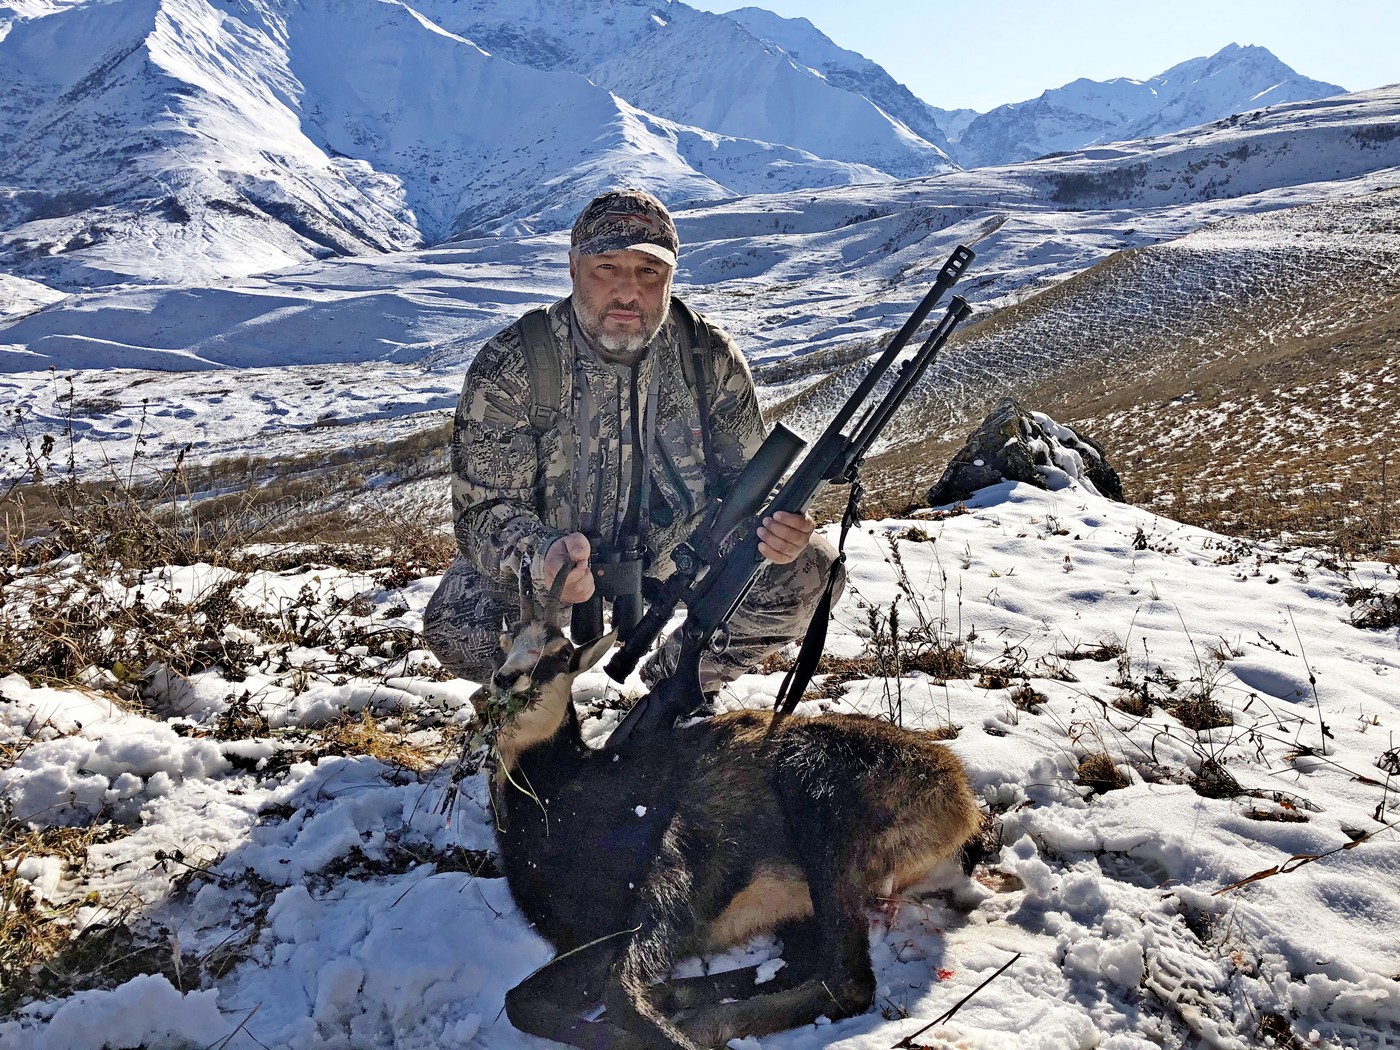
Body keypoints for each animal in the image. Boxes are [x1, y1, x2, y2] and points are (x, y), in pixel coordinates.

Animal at [484, 576, 985, 1050]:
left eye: (561, 654)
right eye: (505, 643)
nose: (506, 680)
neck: (556, 798)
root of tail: (960, 807)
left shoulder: (668, 873)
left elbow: (609, 989)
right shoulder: (586, 939)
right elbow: (520, 1002)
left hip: (816, 795)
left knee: (849, 981)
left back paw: (700, 1021)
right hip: (804, 900)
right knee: (799, 963)